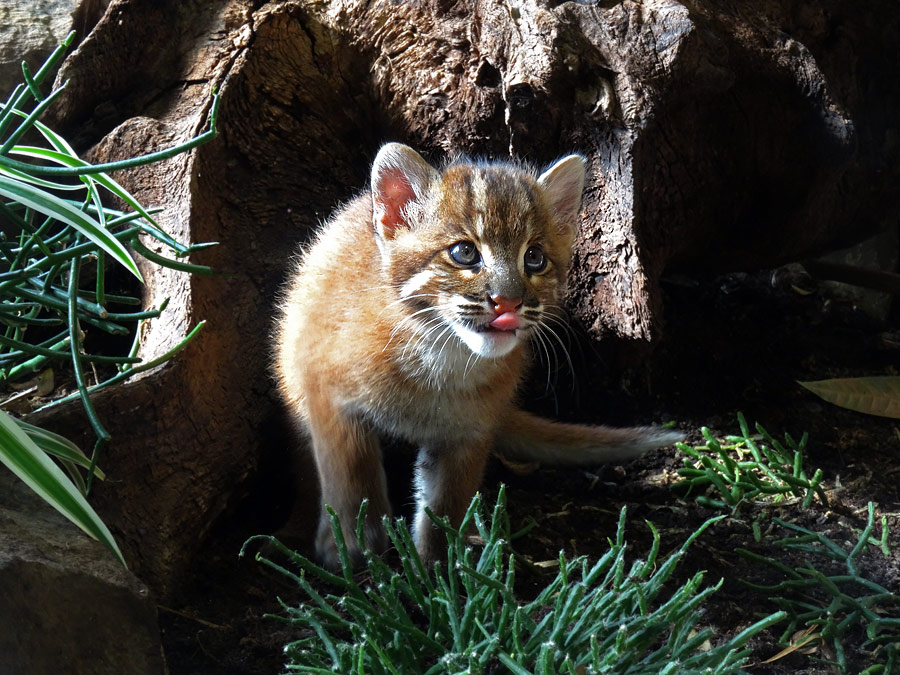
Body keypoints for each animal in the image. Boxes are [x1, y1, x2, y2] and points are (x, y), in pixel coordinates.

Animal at [276, 145, 684, 568]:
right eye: (464, 252)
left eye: (534, 257)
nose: (509, 302)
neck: (442, 355)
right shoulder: (326, 391)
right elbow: (349, 474)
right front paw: (352, 545)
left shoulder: (468, 432)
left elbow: (445, 503)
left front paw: (439, 568)